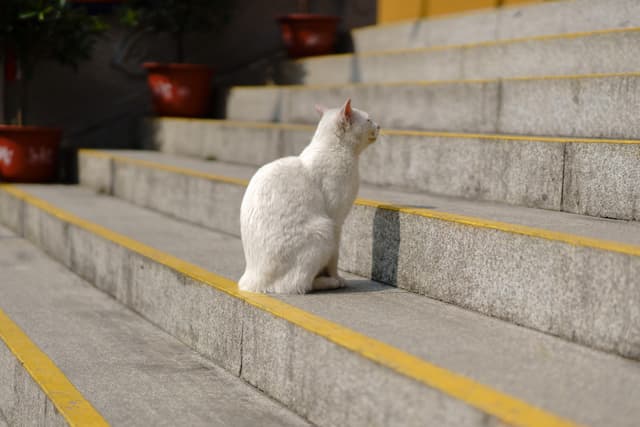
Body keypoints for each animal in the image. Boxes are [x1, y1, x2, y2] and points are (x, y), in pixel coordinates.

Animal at [240, 100, 380, 294]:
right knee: (297, 285)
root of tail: (251, 280)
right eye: (368, 119)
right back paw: (329, 282)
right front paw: (336, 278)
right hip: (323, 230)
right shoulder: (336, 221)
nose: (379, 125)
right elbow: (334, 259)